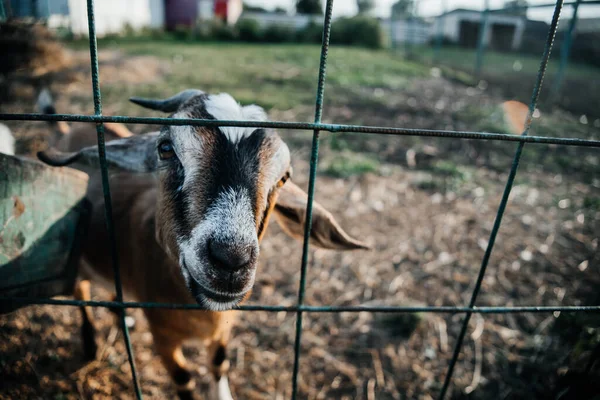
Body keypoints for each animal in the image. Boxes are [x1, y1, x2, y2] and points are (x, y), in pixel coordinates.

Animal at [37, 90, 368, 400]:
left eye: (284, 178)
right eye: (165, 148)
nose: (231, 260)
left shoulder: (223, 330)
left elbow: (219, 364)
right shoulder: (163, 336)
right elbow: (184, 380)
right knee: (81, 292)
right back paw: (91, 344)